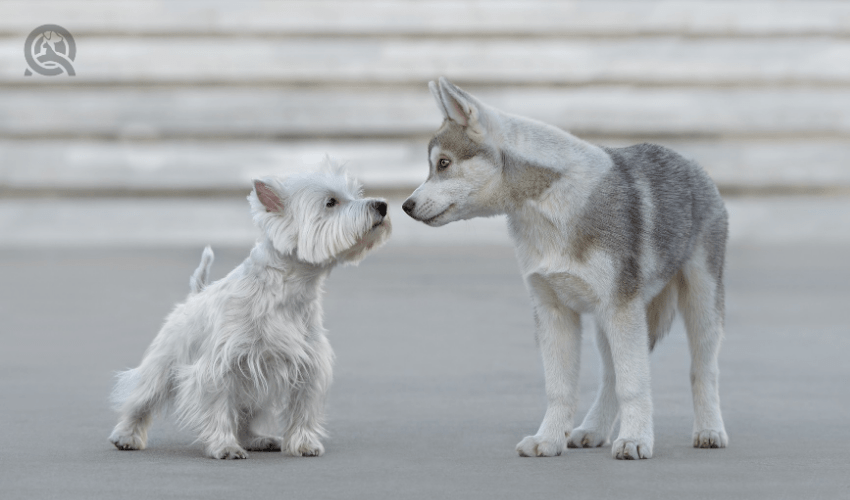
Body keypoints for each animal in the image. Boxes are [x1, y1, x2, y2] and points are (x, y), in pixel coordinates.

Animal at [107, 159, 394, 458]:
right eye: (331, 202)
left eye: (355, 194)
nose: (382, 205)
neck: (289, 290)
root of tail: (196, 294)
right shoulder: (219, 367)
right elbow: (218, 407)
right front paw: (224, 446)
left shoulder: (309, 365)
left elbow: (303, 407)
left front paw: (304, 443)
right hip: (164, 364)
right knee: (141, 398)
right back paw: (126, 436)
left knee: (245, 415)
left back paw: (258, 439)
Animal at [400, 79, 724, 460]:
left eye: (443, 163)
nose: (405, 205)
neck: (553, 206)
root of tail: (692, 164)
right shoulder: (554, 311)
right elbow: (560, 389)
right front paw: (549, 440)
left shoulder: (620, 308)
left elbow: (633, 385)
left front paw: (635, 440)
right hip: (608, 325)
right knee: (609, 377)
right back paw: (593, 430)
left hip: (699, 309)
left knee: (702, 371)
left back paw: (709, 430)